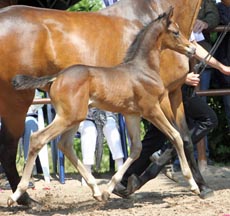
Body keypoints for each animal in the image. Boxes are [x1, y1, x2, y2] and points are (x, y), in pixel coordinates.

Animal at [9, 7, 198, 205]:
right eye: (175, 32)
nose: (192, 48)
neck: (143, 69)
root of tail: (56, 77)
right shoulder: (151, 109)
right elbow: (176, 136)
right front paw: (193, 184)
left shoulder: (132, 114)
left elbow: (136, 149)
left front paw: (110, 189)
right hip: (68, 117)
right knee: (38, 139)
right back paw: (16, 194)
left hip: (75, 117)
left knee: (65, 144)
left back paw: (97, 191)